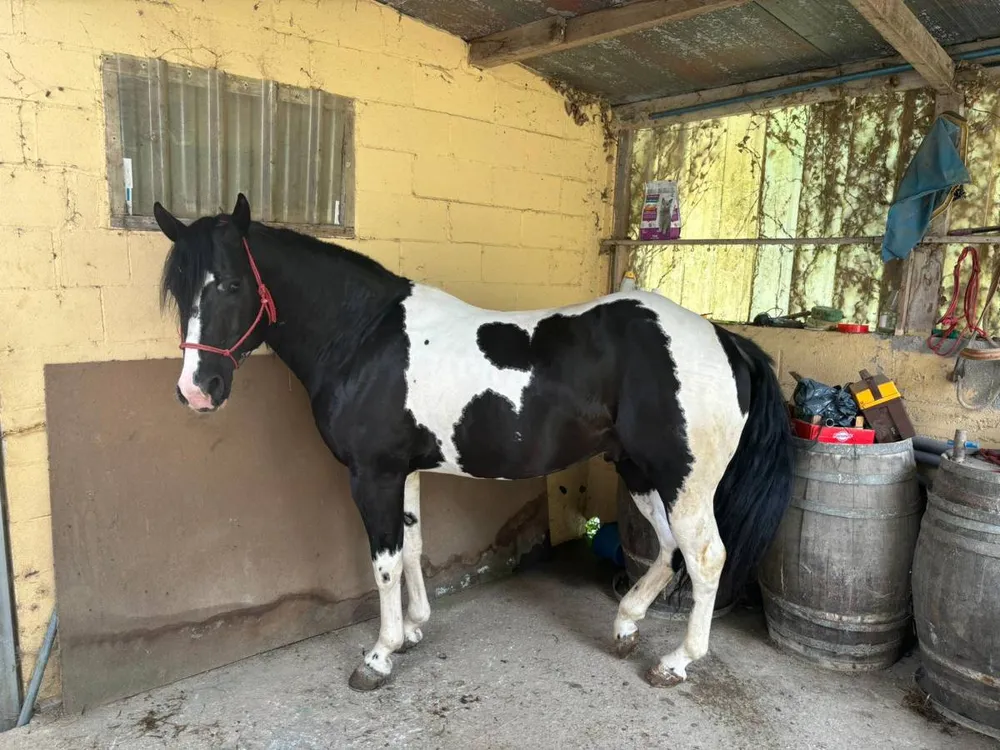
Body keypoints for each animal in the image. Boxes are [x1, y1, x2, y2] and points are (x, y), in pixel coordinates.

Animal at [152, 193, 794, 692]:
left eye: (231, 284)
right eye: (180, 291)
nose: (197, 390)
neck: (363, 338)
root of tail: (725, 340)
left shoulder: (373, 474)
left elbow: (384, 563)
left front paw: (379, 656)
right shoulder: (404, 470)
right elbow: (412, 547)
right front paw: (414, 628)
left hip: (684, 479)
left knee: (705, 557)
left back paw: (677, 662)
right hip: (639, 471)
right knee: (666, 549)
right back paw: (627, 624)